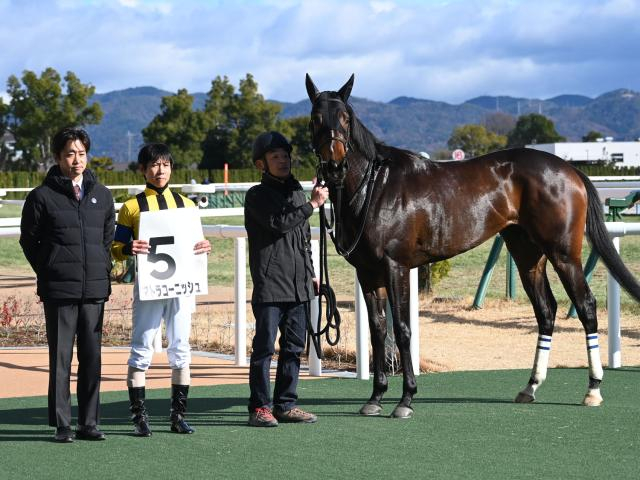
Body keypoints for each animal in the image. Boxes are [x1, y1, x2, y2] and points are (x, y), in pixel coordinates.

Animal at [304, 73, 640, 418]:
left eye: (345, 117)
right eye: (315, 118)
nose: (334, 166)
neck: (375, 187)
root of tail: (571, 170)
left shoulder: (396, 267)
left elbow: (402, 329)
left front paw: (406, 399)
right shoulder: (368, 273)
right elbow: (378, 330)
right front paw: (375, 397)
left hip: (564, 254)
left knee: (586, 306)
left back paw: (593, 389)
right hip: (527, 255)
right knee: (546, 311)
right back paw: (530, 387)